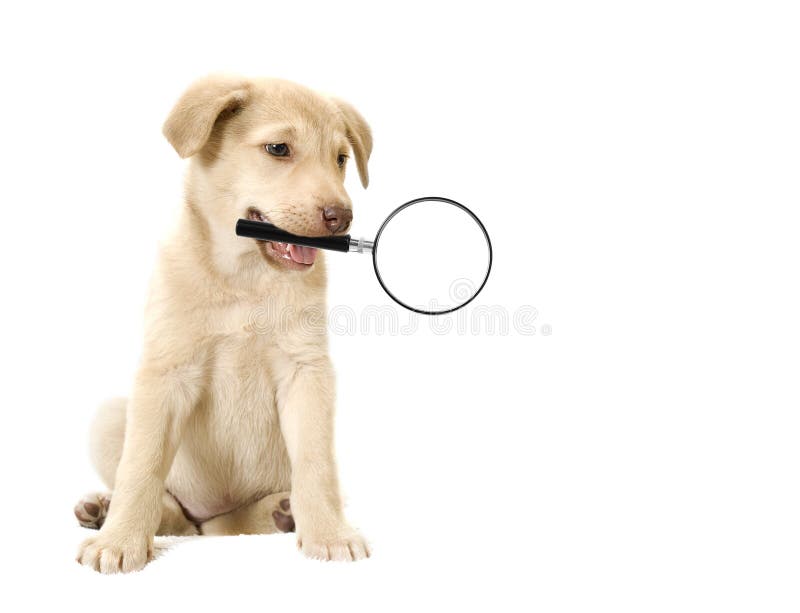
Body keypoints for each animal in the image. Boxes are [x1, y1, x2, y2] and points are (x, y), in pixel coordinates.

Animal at [73, 76, 374, 572]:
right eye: (278, 149)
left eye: (341, 159)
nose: (341, 218)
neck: (244, 278)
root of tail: (210, 519)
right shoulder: (166, 372)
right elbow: (141, 467)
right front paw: (119, 541)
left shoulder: (307, 371)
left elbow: (315, 464)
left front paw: (329, 535)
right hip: (110, 415)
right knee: (173, 514)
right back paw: (105, 510)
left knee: (235, 519)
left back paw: (282, 511)